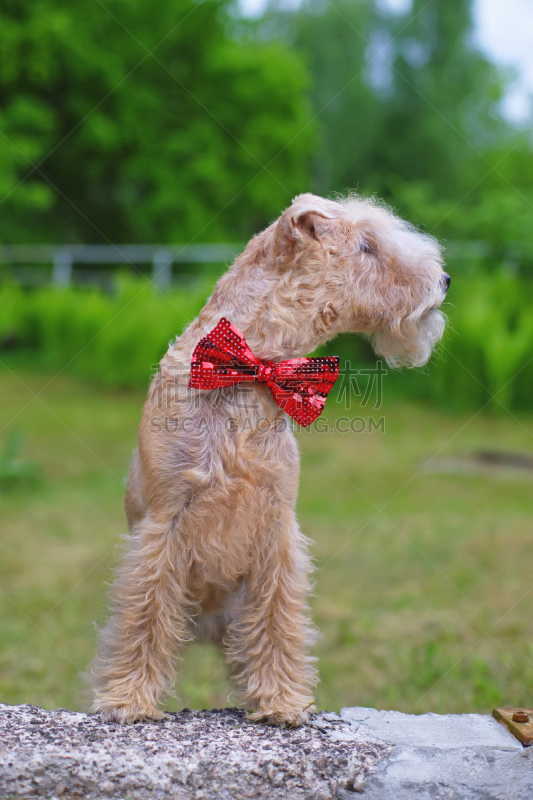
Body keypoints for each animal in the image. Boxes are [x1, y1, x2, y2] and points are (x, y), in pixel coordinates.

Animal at [92, 192, 448, 724]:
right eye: (366, 245)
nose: (444, 281)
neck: (250, 369)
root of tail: (205, 628)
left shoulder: (275, 528)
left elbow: (278, 623)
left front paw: (281, 701)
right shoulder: (164, 526)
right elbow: (146, 618)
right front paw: (129, 700)